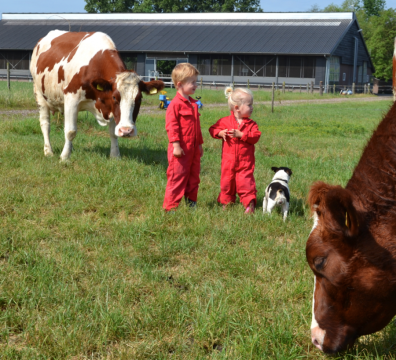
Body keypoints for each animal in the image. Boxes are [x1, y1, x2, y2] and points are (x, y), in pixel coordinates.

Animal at [29, 31, 162, 160]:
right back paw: (48, 151)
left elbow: (113, 132)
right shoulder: (71, 98)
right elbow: (70, 131)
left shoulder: (111, 107)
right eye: (115, 97)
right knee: (45, 124)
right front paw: (64, 157)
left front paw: (115, 156)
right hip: (39, 95)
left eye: (139, 99)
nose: (126, 131)